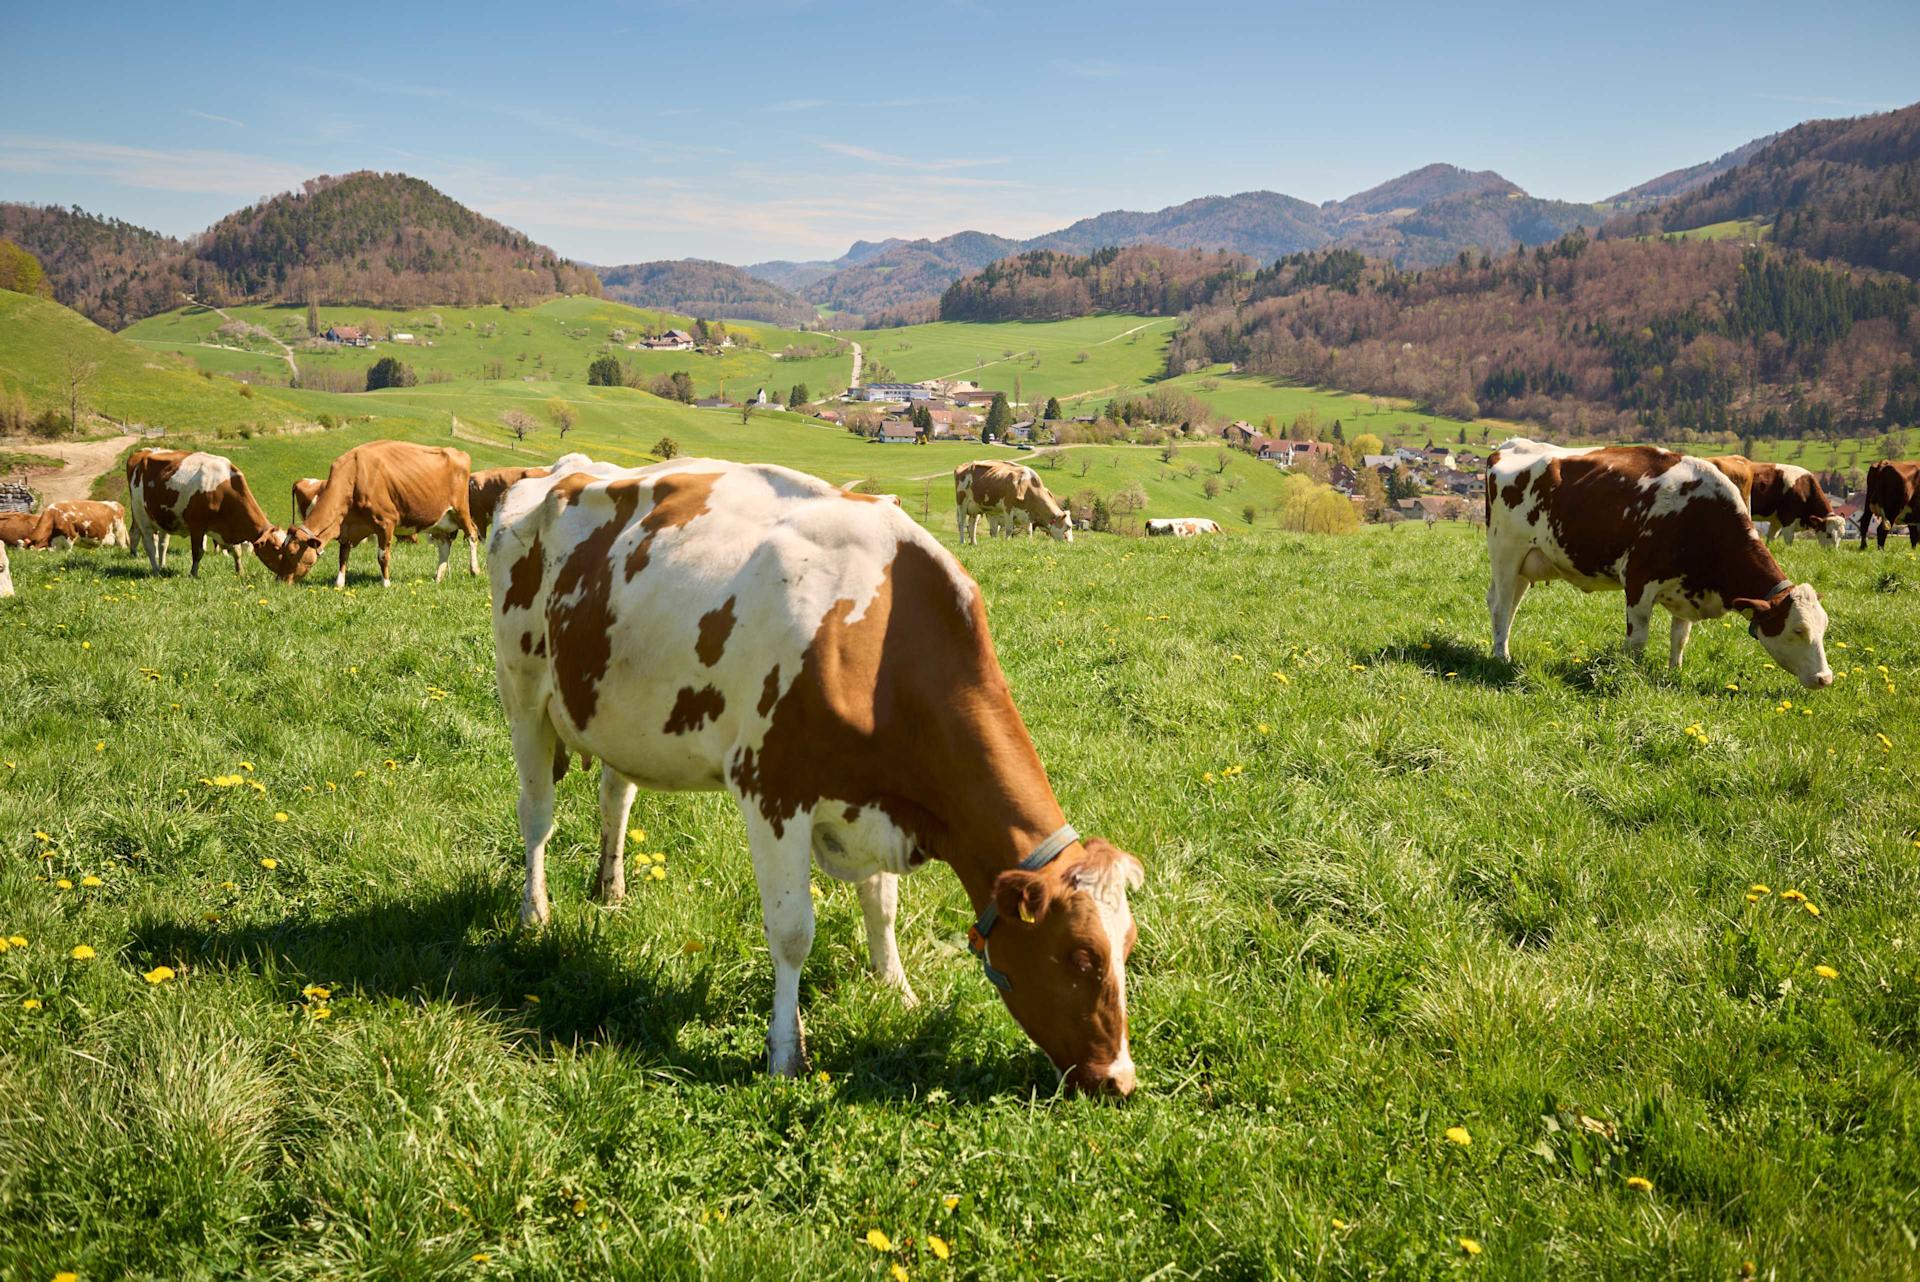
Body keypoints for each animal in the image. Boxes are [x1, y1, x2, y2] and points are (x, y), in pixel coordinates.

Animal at [127, 450, 277, 576]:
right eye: (276, 548)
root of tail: (144, 453)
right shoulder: (197, 526)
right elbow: (198, 552)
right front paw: (193, 574)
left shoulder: (228, 528)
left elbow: (236, 551)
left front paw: (240, 571)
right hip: (141, 516)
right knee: (148, 544)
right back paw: (156, 571)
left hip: (163, 519)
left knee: (162, 544)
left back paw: (162, 566)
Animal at [255, 441, 480, 587]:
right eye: (281, 550)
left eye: (292, 552)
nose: (280, 580)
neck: (354, 477)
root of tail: (460, 453)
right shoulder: (347, 527)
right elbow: (343, 556)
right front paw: (339, 584)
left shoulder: (386, 523)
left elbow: (383, 557)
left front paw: (386, 583)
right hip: (441, 521)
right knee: (444, 546)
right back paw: (438, 577)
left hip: (461, 509)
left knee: (472, 535)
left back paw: (474, 570)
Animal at [491, 454, 1144, 1094]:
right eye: (1081, 955)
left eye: (1129, 948)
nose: (1120, 1080)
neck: (875, 642)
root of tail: (559, 470)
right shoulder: (774, 792)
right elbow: (792, 931)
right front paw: (786, 1052)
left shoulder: (876, 802)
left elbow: (882, 908)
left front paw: (897, 991)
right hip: (523, 697)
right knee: (536, 819)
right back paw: (535, 914)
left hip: (617, 716)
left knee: (615, 798)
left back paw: (612, 890)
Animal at [1706, 455, 1844, 548]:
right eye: (1829, 534)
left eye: (1842, 535)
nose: (1832, 552)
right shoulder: (1788, 518)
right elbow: (1789, 541)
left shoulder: (1776, 521)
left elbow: (1771, 539)